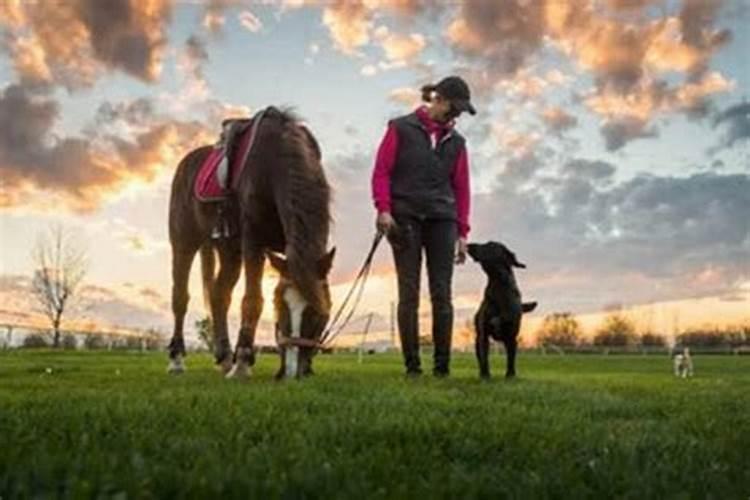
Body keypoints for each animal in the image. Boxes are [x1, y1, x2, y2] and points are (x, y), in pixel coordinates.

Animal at [170, 106, 338, 378]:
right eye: (280, 306)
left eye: (318, 312)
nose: (291, 371)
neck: (275, 164)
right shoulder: (253, 243)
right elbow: (252, 300)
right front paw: (243, 362)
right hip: (183, 243)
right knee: (180, 297)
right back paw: (177, 359)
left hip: (229, 251)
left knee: (219, 294)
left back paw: (224, 357)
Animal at [468, 242, 536, 378]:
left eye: (489, 245)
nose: (468, 245)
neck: (498, 284)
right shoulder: (484, 335)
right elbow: (484, 357)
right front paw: (485, 375)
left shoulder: (511, 336)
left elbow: (510, 359)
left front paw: (510, 375)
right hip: (478, 339)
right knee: (480, 356)